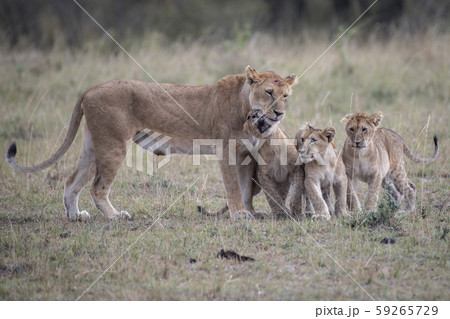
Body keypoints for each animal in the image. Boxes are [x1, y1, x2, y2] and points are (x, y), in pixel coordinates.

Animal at [6, 66, 298, 221]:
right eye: (269, 92)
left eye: (286, 95)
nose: (280, 113)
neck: (247, 108)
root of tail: (90, 89)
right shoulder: (225, 150)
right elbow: (234, 188)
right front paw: (239, 215)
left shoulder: (245, 153)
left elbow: (246, 188)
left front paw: (250, 213)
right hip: (113, 145)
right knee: (97, 188)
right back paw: (115, 216)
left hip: (92, 145)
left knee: (71, 182)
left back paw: (76, 216)